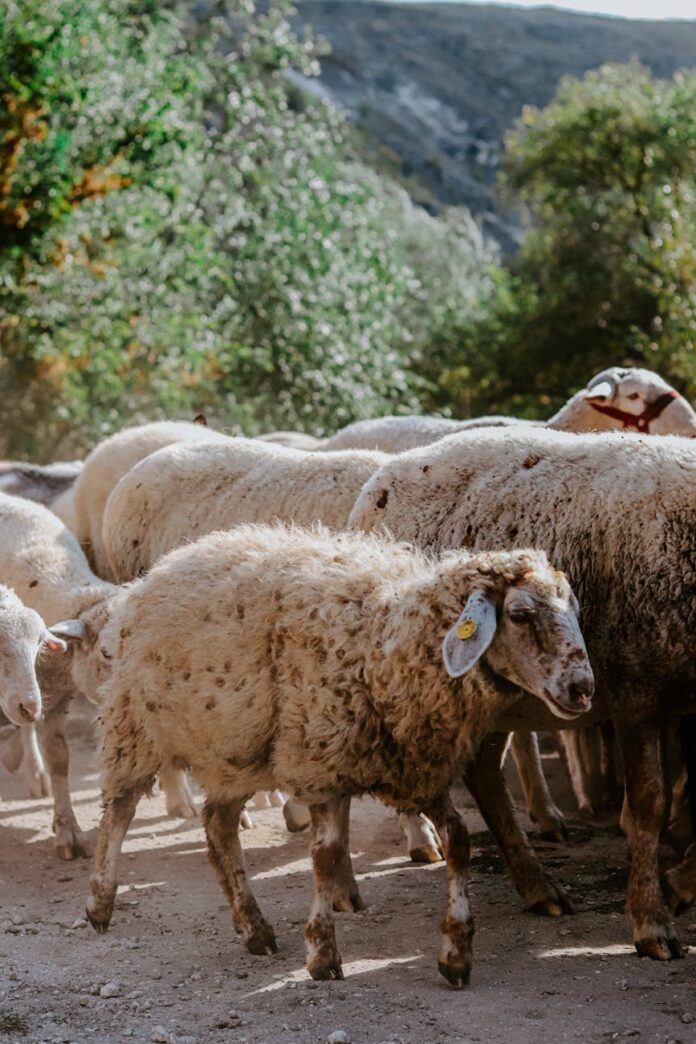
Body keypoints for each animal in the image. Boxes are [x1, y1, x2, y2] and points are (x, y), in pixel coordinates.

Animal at [84, 523, 593, 985]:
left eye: (573, 608)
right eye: (521, 614)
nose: (583, 688)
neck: (387, 643)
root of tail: (154, 575)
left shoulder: (415, 763)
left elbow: (459, 840)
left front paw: (455, 951)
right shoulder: (322, 763)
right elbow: (326, 857)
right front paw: (323, 954)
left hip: (235, 751)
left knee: (218, 826)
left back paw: (253, 927)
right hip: (138, 728)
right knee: (119, 810)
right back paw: (100, 904)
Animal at [348, 426, 696, 960]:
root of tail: (379, 480)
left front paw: (677, 886)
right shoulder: (637, 691)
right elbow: (649, 803)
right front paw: (652, 922)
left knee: (485, 775)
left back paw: (536, 885)